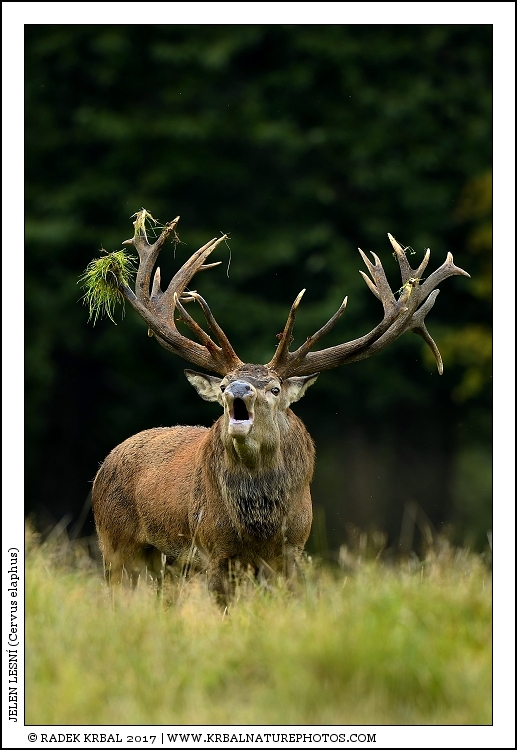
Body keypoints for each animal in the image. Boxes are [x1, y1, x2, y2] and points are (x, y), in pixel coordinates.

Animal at [88, 209, 469, 605]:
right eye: (222, 385)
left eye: (273, 388)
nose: (238, 389)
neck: (260, 527)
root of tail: (103, 466)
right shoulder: (211, 548)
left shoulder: (292, 548)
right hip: (115, 543)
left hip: (164, 565)